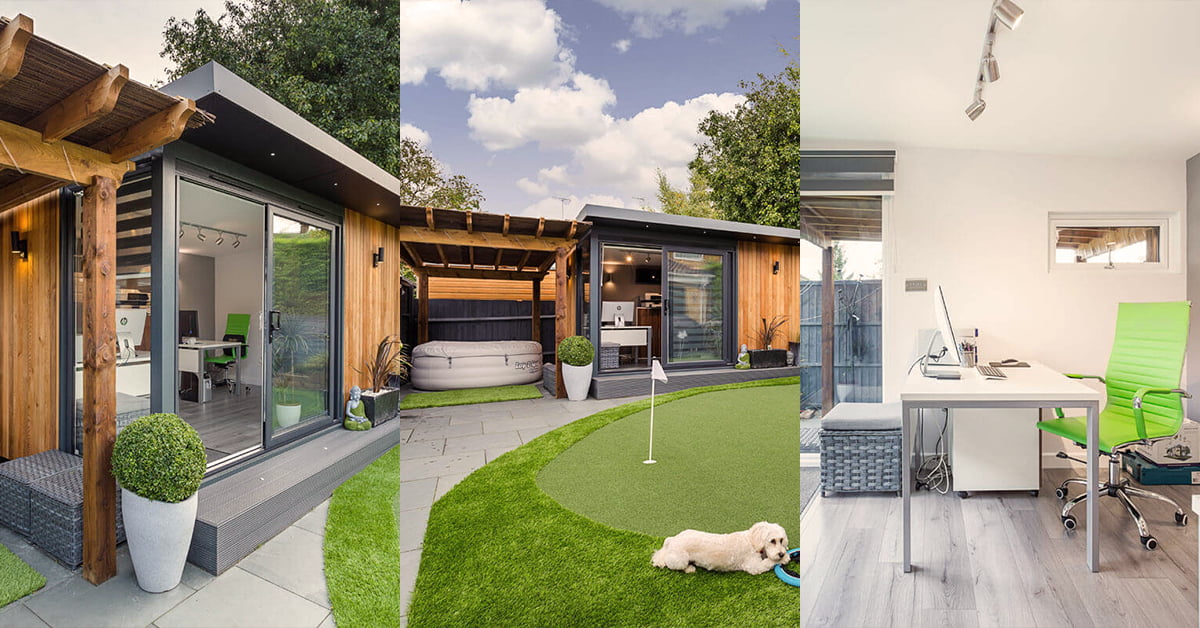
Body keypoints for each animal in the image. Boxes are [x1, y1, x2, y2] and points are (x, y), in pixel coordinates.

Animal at [652, 521, 792, 573]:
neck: (752, 541)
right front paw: (784, 559)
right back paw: (689, 568)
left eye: (781, 540)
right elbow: (768, 562)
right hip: (679, 560)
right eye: (772, 541)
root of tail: (672, 540)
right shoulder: (753, 566)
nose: (781, 553)